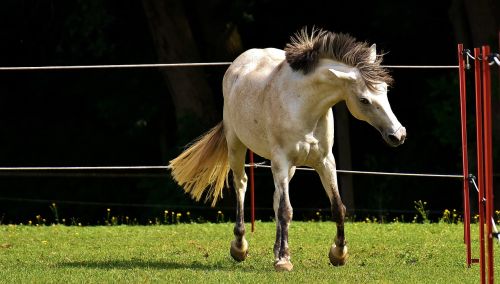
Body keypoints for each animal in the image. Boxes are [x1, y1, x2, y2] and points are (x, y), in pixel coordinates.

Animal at [169, 27, 406, 272]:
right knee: (241, 184)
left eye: (385, 90)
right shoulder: (281, 161)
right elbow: (286, 210)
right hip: (237, 146)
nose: (398, 135)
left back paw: (275, 249)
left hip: (288, 167)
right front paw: (284, 260)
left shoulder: (325, 161)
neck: (304, 105)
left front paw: (338, 253)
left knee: (274, 198)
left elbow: (337, 207)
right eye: (364, 100)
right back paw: (240, 246)